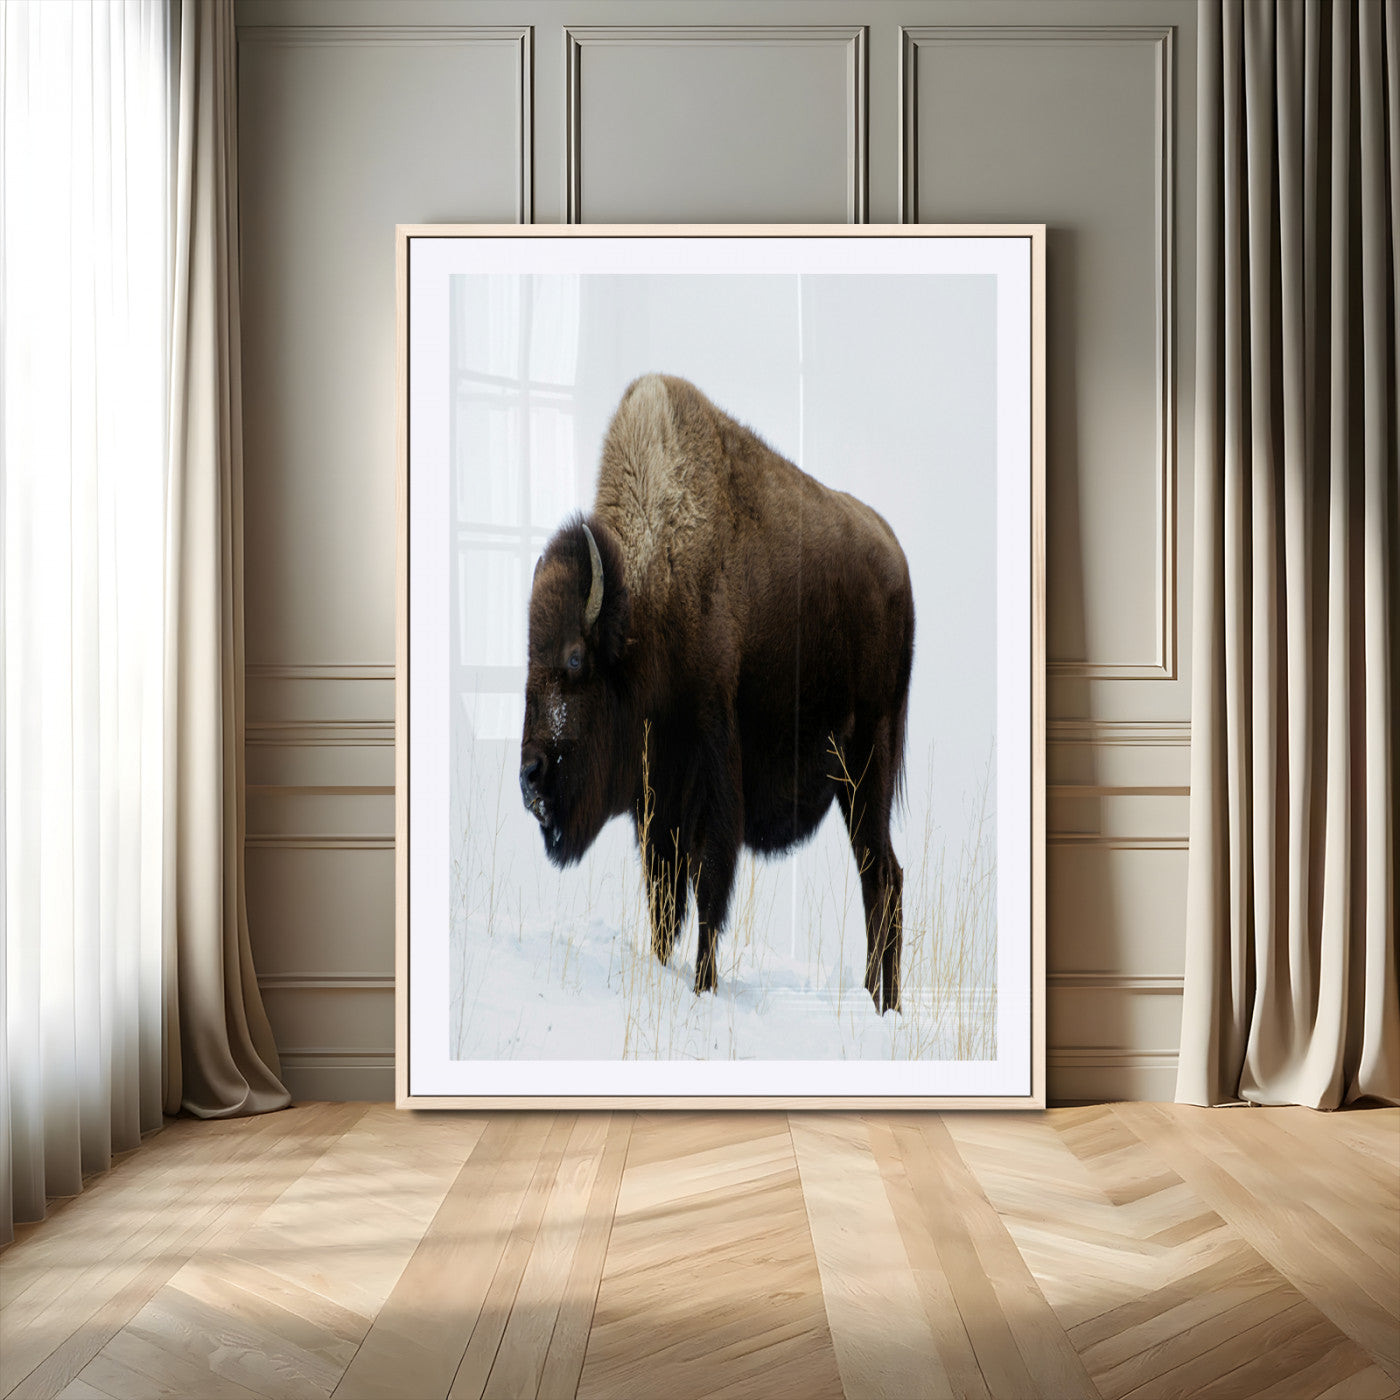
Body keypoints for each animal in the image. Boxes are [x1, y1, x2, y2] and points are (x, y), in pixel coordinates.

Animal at [519, 374, 914, 1013]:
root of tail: (895, 557)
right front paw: (663, 969)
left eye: (575, 657)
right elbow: (663, 901)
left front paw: (704, 987)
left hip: (869, 764)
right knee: (882, 879)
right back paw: (876, 999)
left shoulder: (713, 779)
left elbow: (708, 893)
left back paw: (885, 1006)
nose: (530, 776)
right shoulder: (656, 804)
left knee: (881, 877)